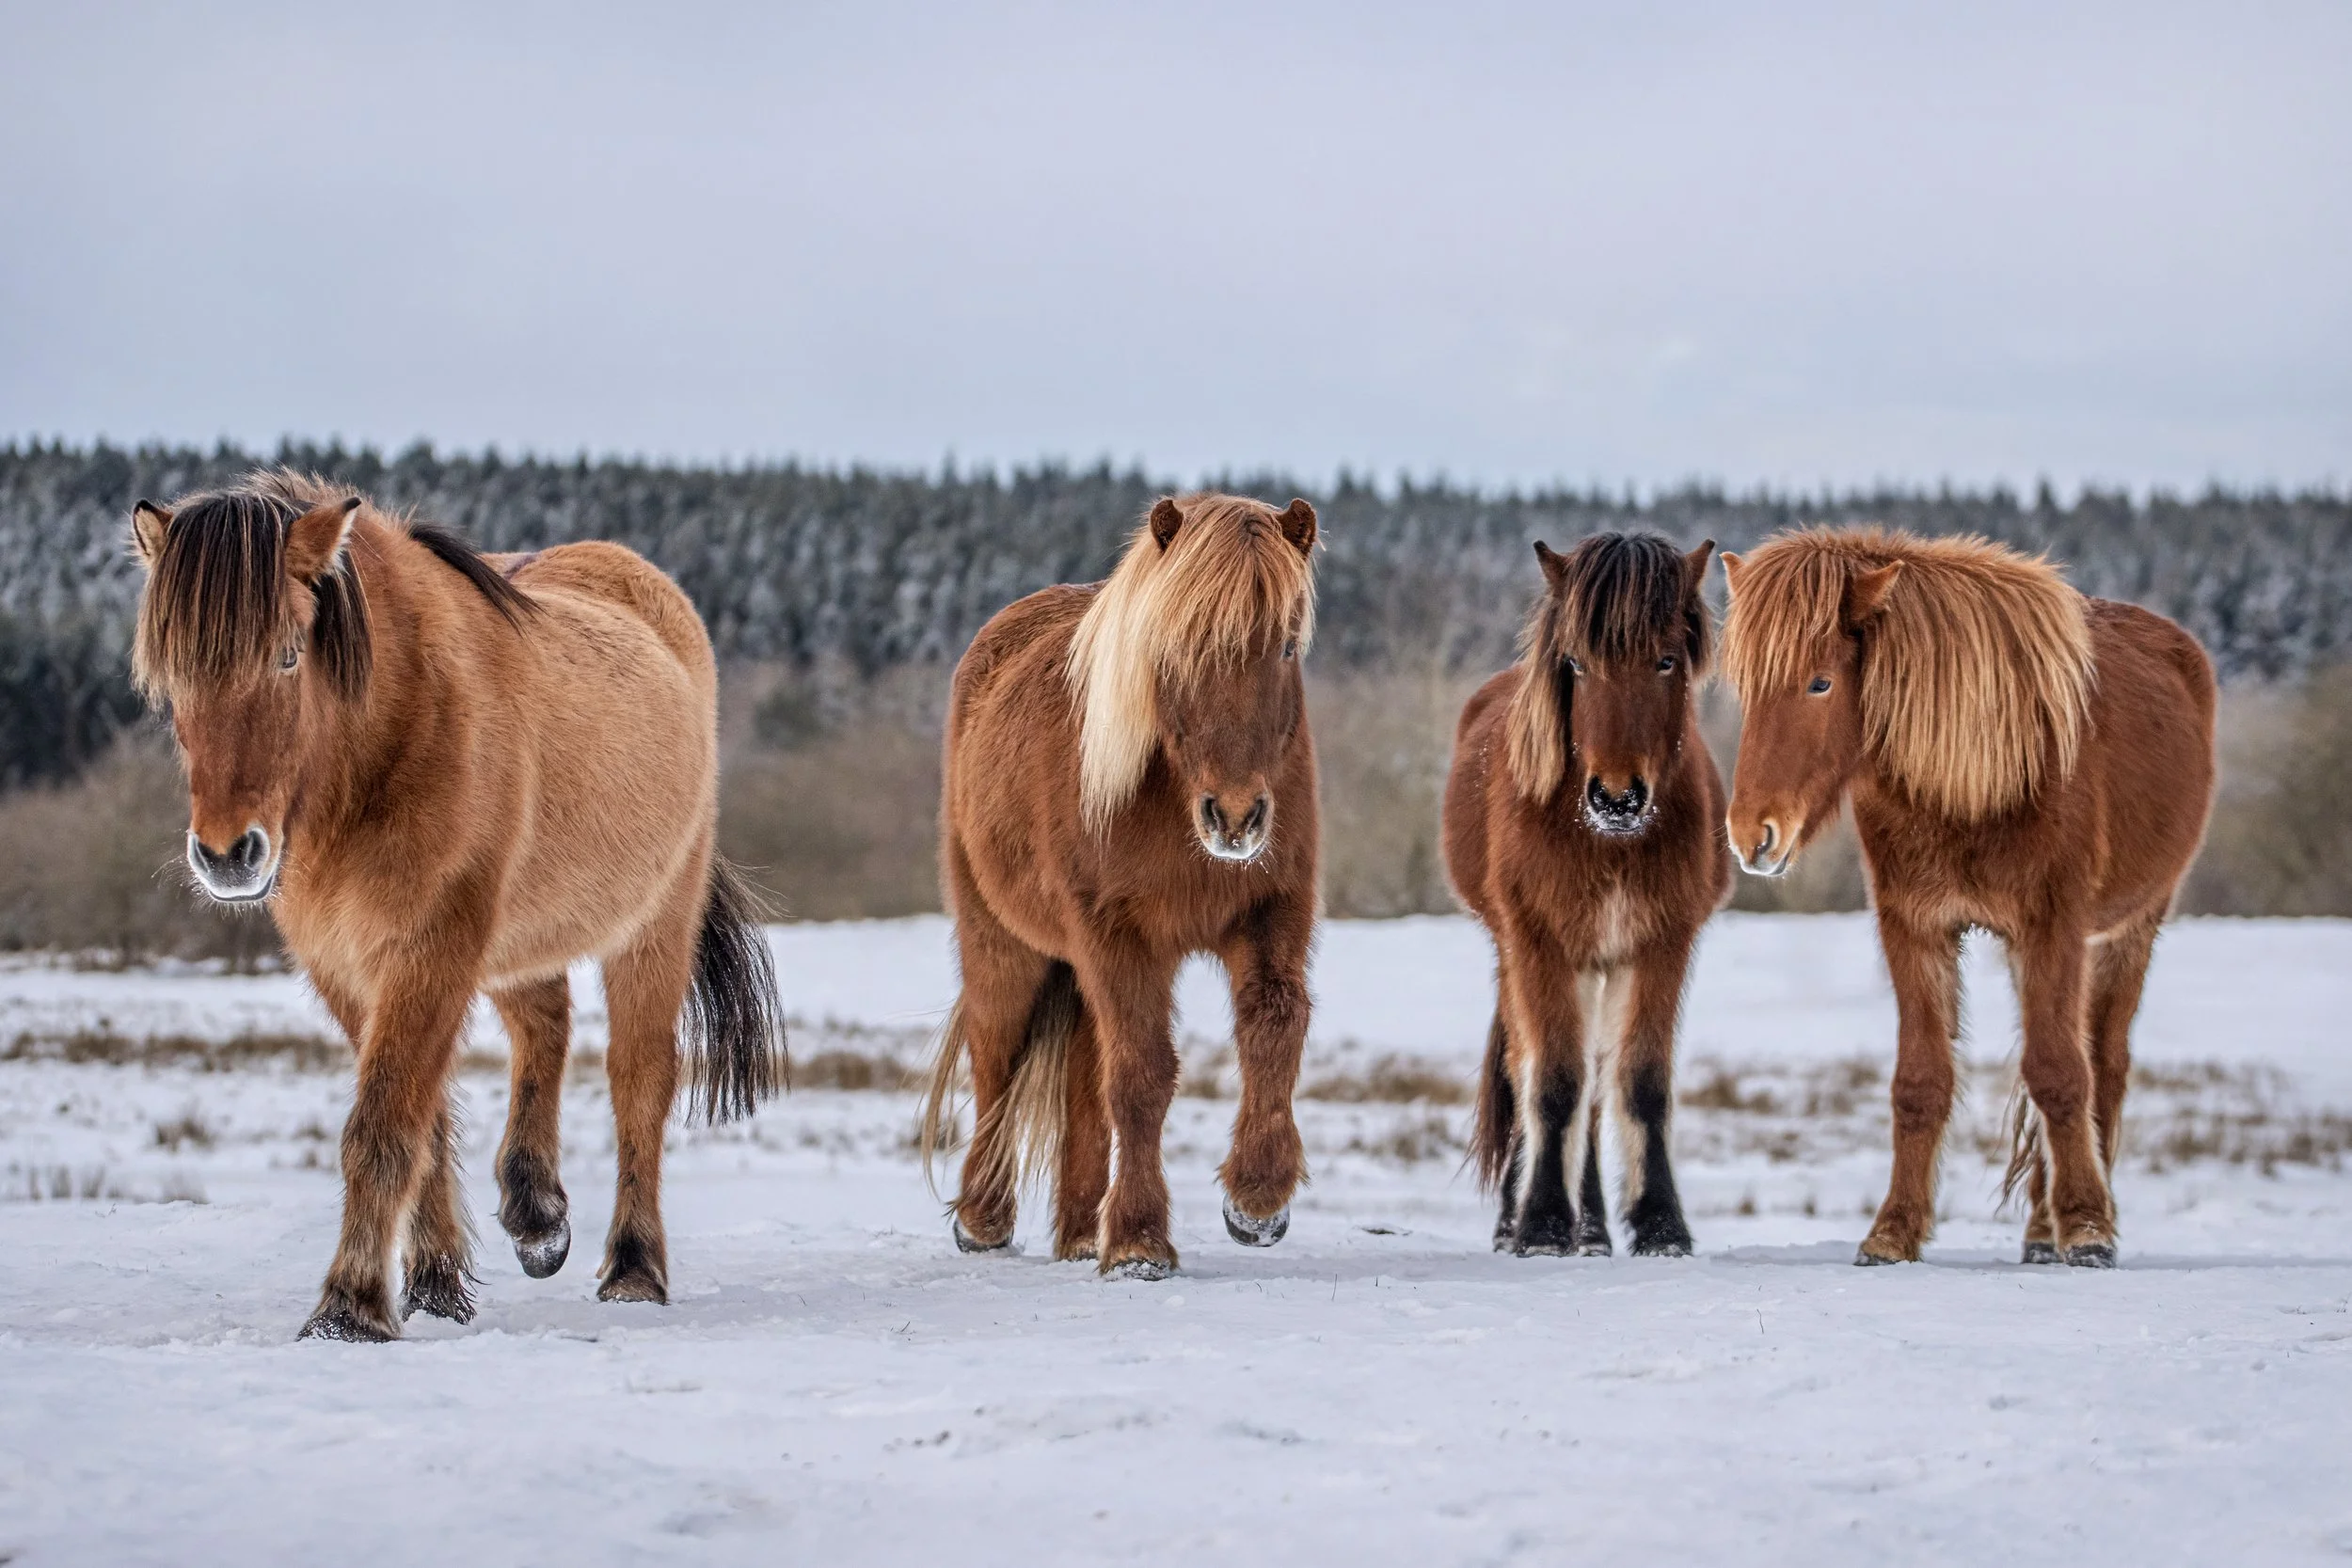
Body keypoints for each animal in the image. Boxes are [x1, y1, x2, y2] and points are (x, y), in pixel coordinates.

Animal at [129, 470, 784, 1340]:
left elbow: (383, 1126)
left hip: (653, 923)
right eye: (172, 678)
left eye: (288, 654)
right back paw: (537, 1214)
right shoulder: (352, 968)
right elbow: (424, 1121)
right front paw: (434, 1285)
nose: (228, 855)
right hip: (513, 937)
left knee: (639, 1075)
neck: (398, 731)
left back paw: (634, 1266)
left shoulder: (429, 947)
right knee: (545, 1025)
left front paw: (349, 1306)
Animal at [918, 492, 1320, 1278]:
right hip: (1004, 942)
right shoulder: (1117, 935)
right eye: (1174, 648)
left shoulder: (1272, 914)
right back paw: (984, 1220)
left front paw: (1258, 1199)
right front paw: (1138, 1240)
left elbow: (1275, 1027)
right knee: (995, 1055)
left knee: (1082, 1079)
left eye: (1287, 646)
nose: (1235, 816)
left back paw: (1079, 1233)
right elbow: (1141, 1074)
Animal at [1444, 533, 1727, 1258]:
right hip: (1523, 957)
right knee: (1527, 1065)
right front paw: (1542, 1224)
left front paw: (1660, 1226)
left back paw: (1595, 1229)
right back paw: (1518, 1223)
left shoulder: (1661, 945)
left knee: (1599, 1089)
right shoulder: (1538, 945)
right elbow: (1552, 1083)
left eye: (1664, 660)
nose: (1616, 798)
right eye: (1576, 663)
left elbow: (1641, 1084)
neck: (1607, 842)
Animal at [1719, 527, 2215, 1267]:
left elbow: (2060, 1073)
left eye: (1820, 682)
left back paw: (2068, 1222)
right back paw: (2039, 1231)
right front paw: (1892, 1232)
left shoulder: (2053, 927)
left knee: (2102, 1064)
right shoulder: (1914, 927)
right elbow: (1920, 1082)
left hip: (2131, 929)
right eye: (1746, 688)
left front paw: (2088, 1227)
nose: (1752, 834)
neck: (1976, 781)